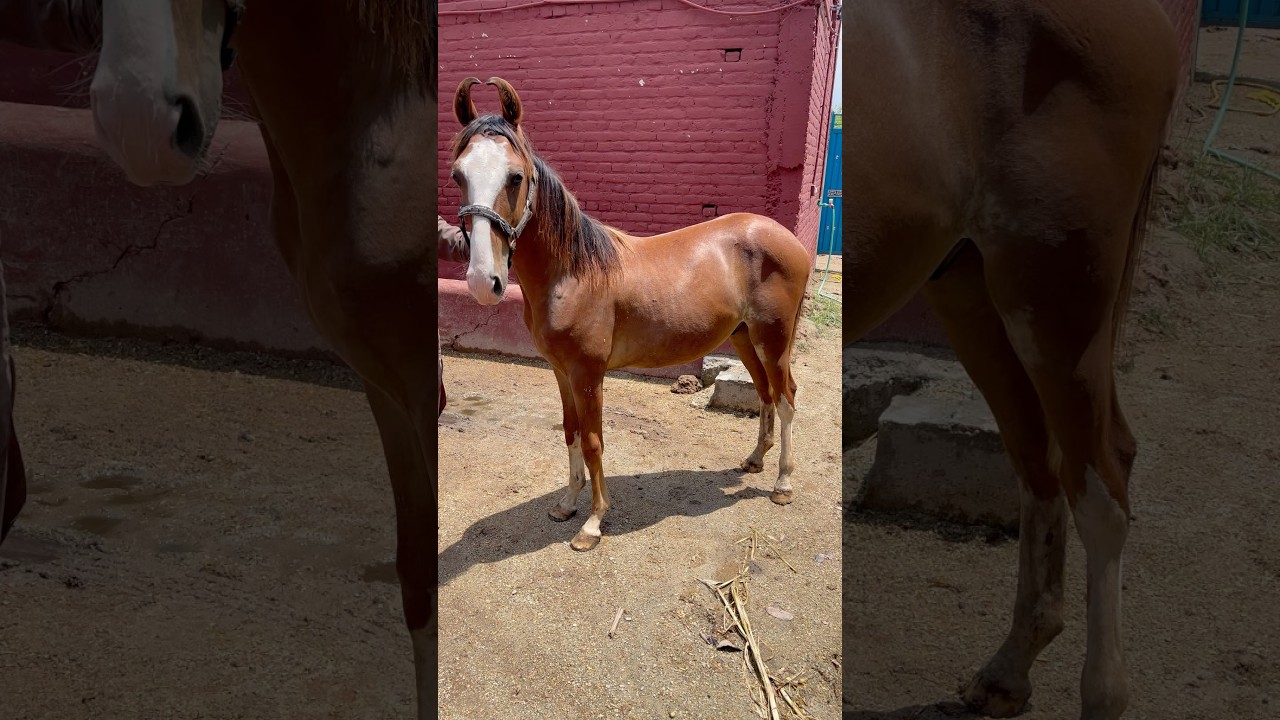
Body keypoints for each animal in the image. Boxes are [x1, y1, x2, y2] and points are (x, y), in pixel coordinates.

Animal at [447, 77, 812, 552]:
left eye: (516, 177)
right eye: (458, 174)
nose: (481, 280)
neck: (573, 273)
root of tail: (788, 238)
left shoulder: (588, 374)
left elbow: (593, 441)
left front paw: (592, 524)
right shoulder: (561, 371)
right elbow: (570, 432)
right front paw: (567, 504)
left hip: (774, 339)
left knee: (786, 398)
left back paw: (783, 484)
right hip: (744, 337)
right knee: (766, 393)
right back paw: (754, 460)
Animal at [843, 1, 1178, 718]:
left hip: (1054, 304)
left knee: (1099, 488)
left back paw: (1102, 693)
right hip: (974, 297)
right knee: (1042, 466)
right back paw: (1007, 671)